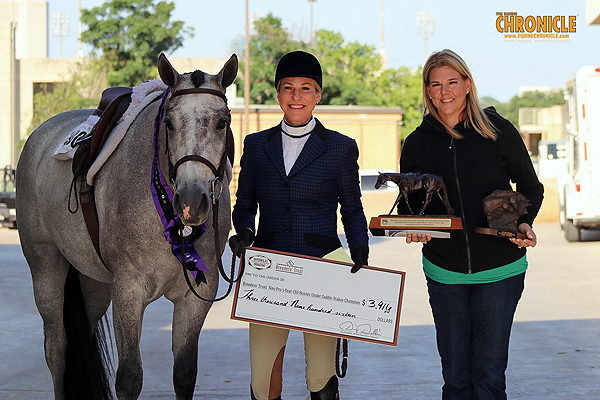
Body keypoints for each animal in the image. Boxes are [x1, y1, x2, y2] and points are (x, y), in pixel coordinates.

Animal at [15, 53, 238, 400]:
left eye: (222, 122)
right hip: (46, 269)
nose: (191, 201)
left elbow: (185, 373)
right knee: (57, 350)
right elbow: (130, 378)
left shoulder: (197, 295)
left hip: (93, 284)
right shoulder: (129, 292)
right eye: (169, 123)